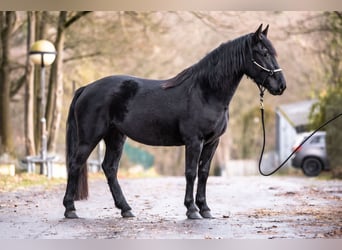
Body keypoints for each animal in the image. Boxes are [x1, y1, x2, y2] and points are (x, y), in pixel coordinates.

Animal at [62, 23, 284, 219]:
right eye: (264, 53)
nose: (281, 86)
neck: (205, 91)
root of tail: (87, 88)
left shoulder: (212, 142)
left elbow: (204, 173)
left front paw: (205, 209)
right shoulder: (194, 141)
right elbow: (191, 173)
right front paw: (192, 210)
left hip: (115, 137)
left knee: (109, 168)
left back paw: (126, 209)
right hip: (90, 138)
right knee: (75, 164)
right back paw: (70, 209)